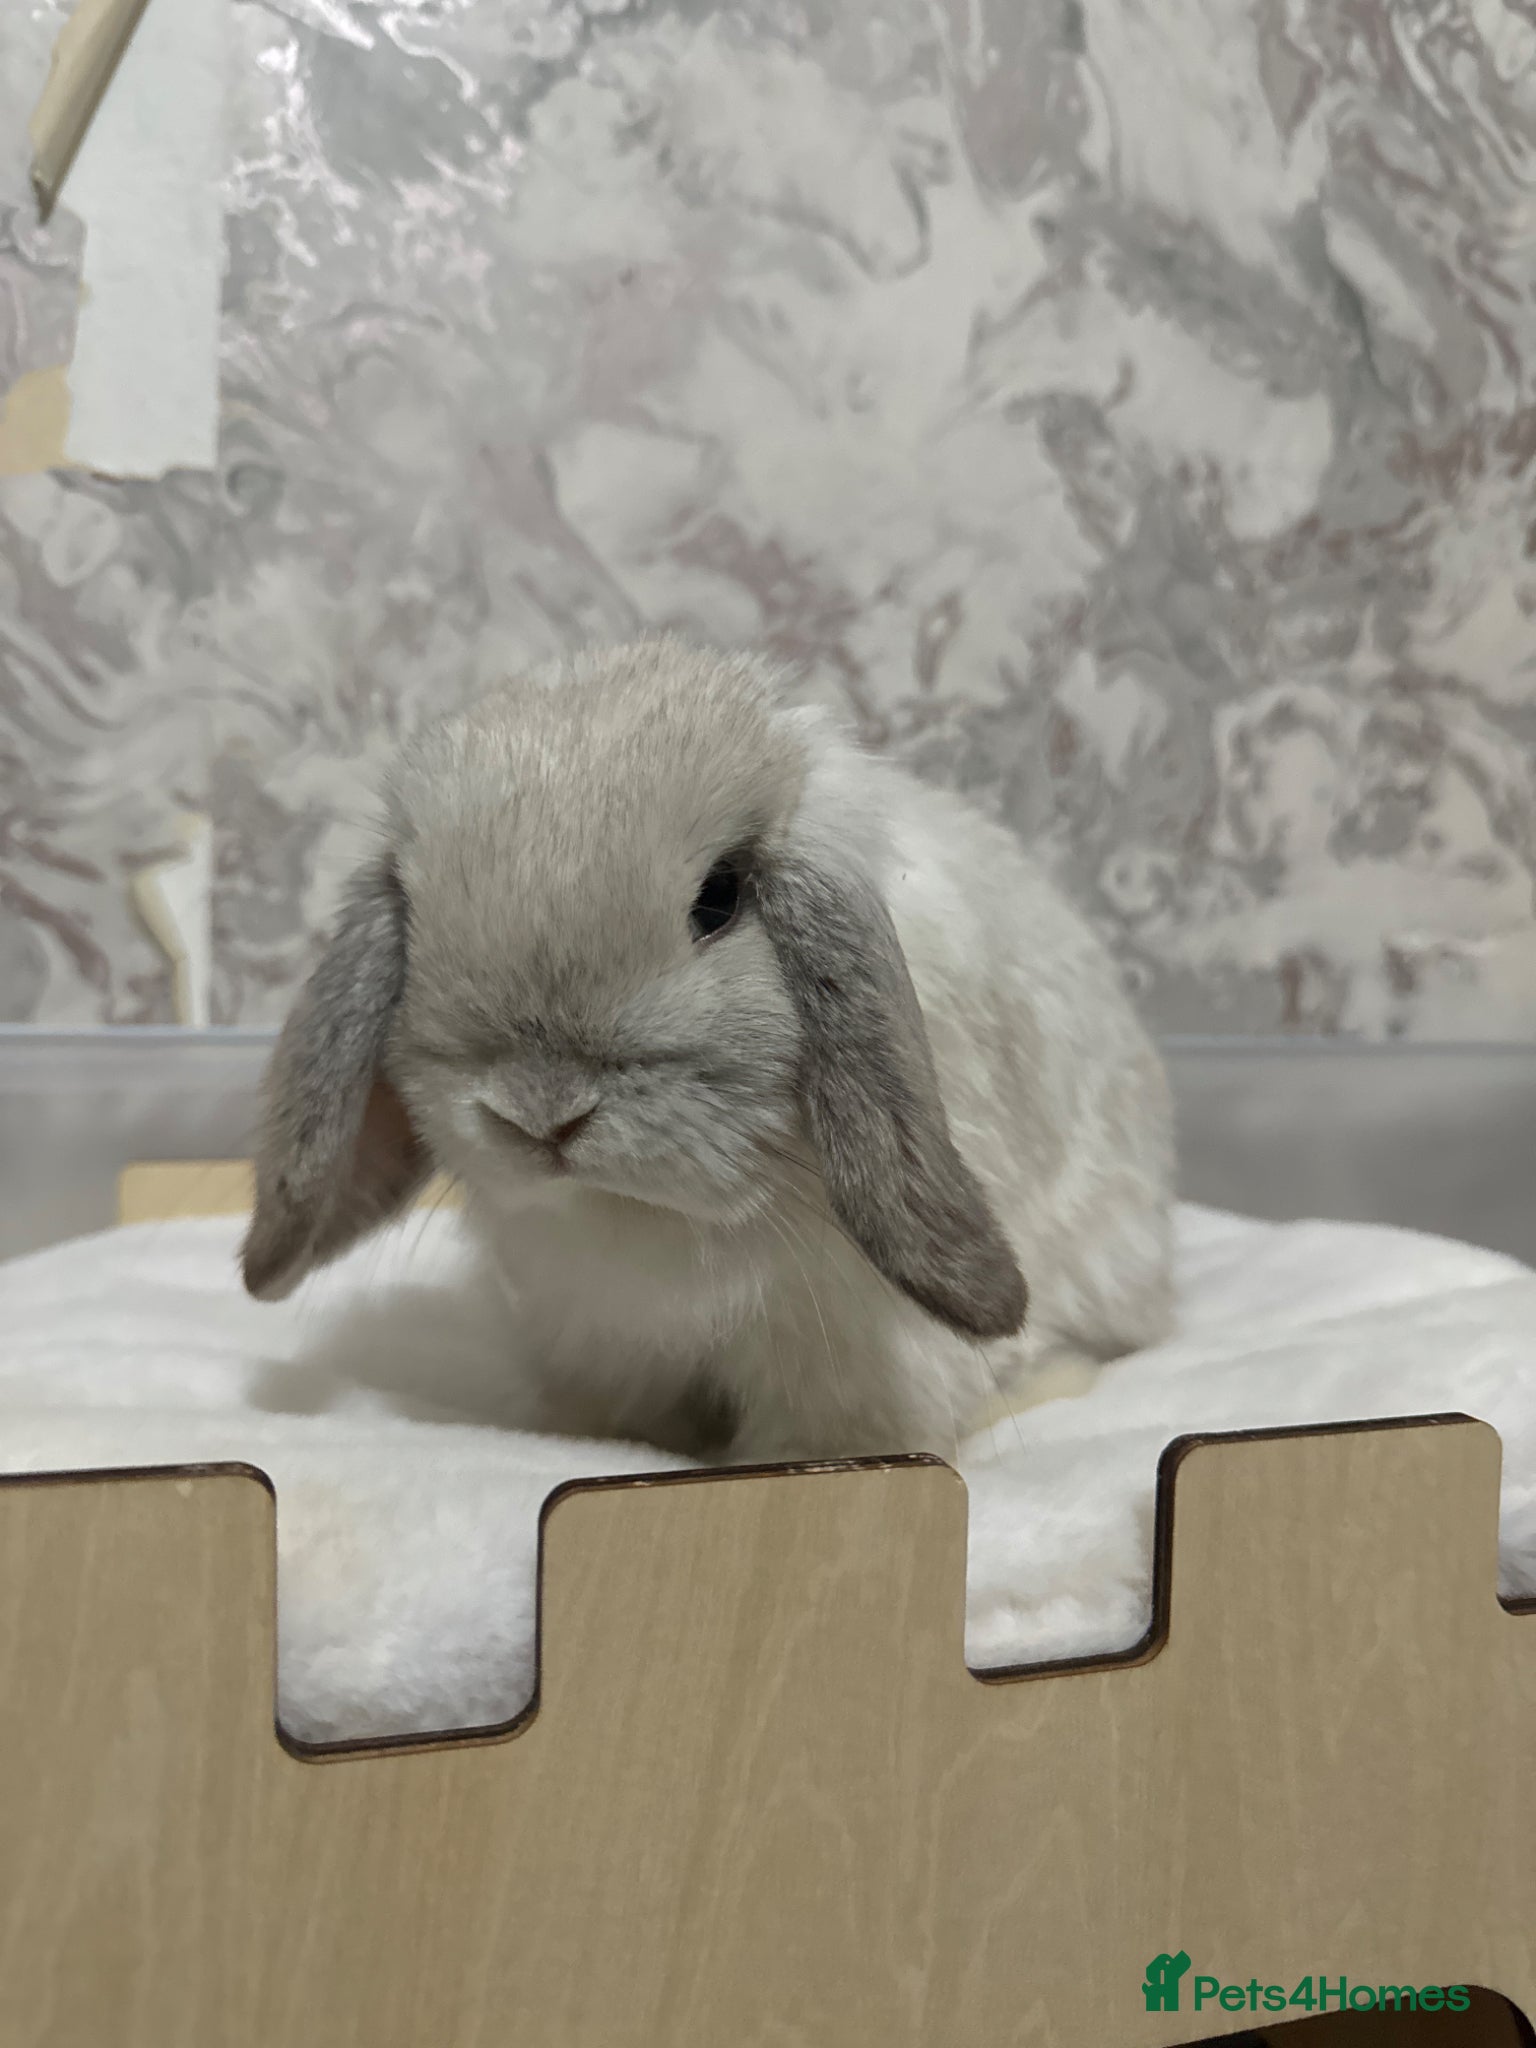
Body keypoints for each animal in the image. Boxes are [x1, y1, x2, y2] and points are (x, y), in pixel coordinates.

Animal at [241, 637, 1174, 1463]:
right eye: (413, 916)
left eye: (719, 899)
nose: (541, 1116)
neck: (645, 1215)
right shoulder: (599, 1337)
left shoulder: (852, 1345)